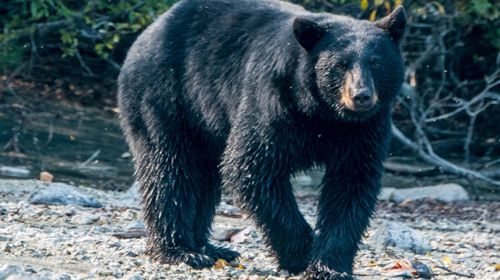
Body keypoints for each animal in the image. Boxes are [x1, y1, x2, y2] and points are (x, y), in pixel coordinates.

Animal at [118, 0, 406, 278]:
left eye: (376, 63)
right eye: (340, 65)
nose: (361, 96)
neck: (324, 114)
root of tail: (148, 32)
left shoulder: (364, 129)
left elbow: (352, 184)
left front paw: (330, 266)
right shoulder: (273, 101)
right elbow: (253, 166)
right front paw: (301, 254)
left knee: (203, 177)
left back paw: (210, 248)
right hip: (165, 96)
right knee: (170, 169)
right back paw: (181, 252)